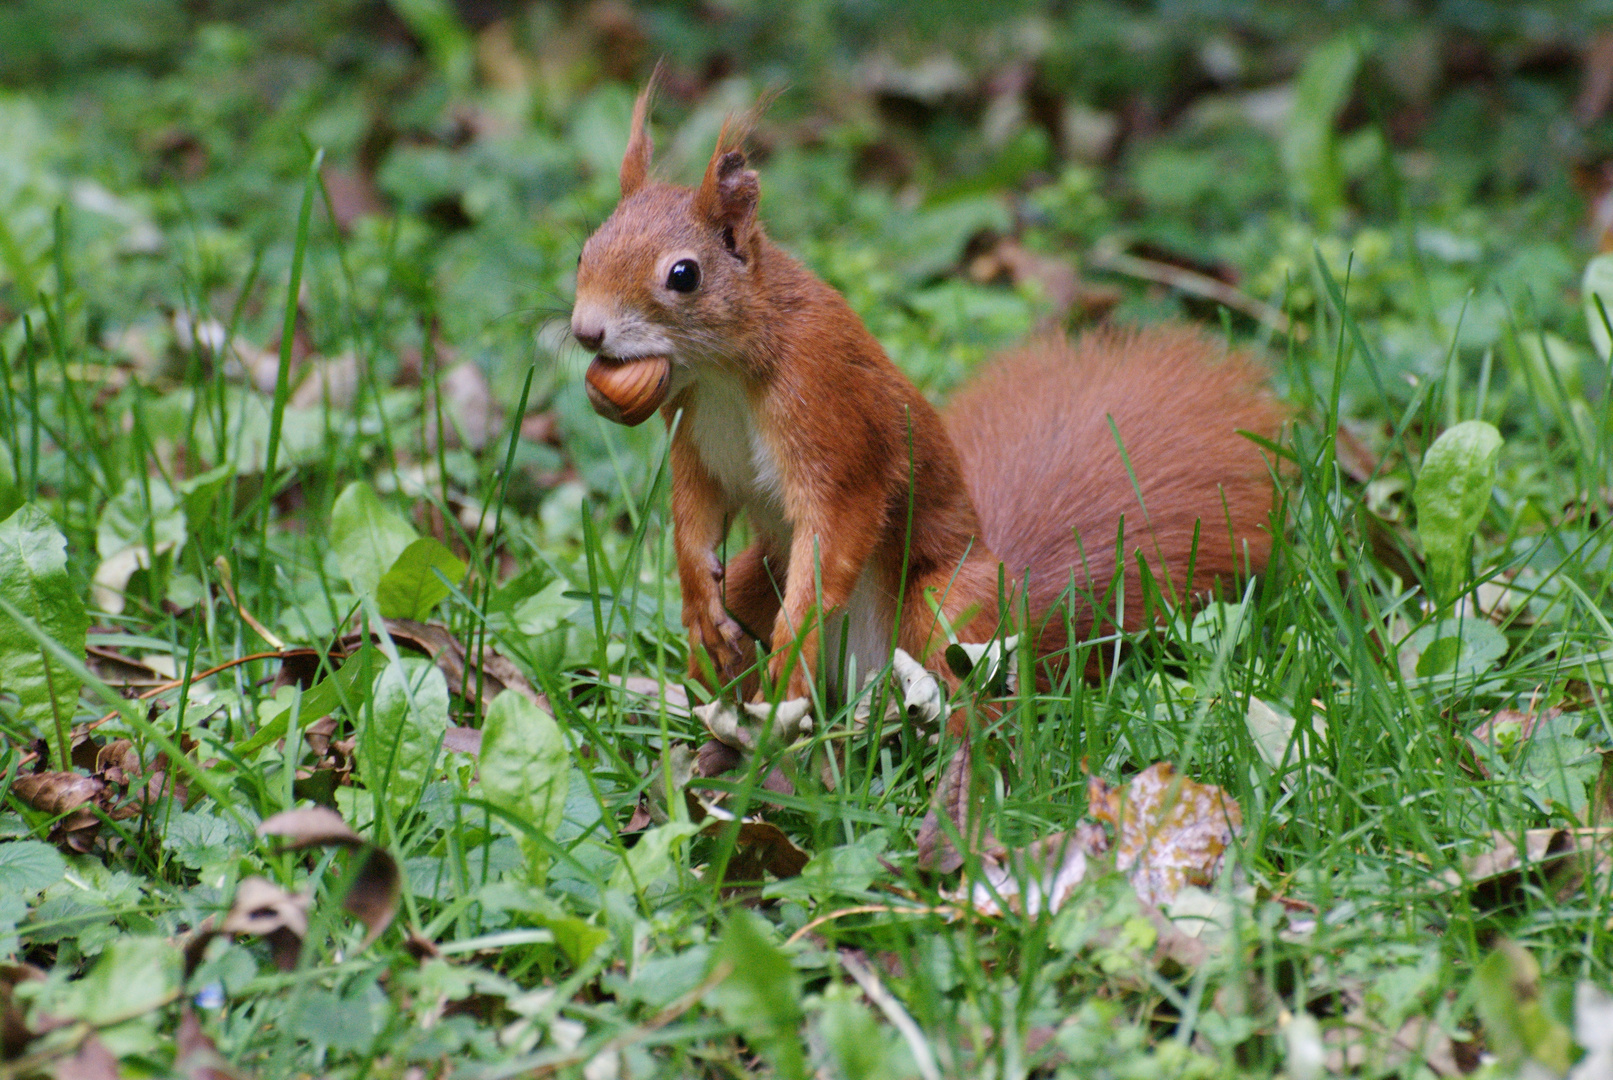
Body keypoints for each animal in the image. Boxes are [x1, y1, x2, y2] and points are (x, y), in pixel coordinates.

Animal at [574, 82, 1277, 728]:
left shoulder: (830, 414)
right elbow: (694, 515)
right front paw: (699, 603)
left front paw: (791, 646)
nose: (585, 331)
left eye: (683, 275)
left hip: (946, 609)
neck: (722, 373)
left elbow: (834, 528)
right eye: (585, 249)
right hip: (758, 576)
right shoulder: (694, 436)